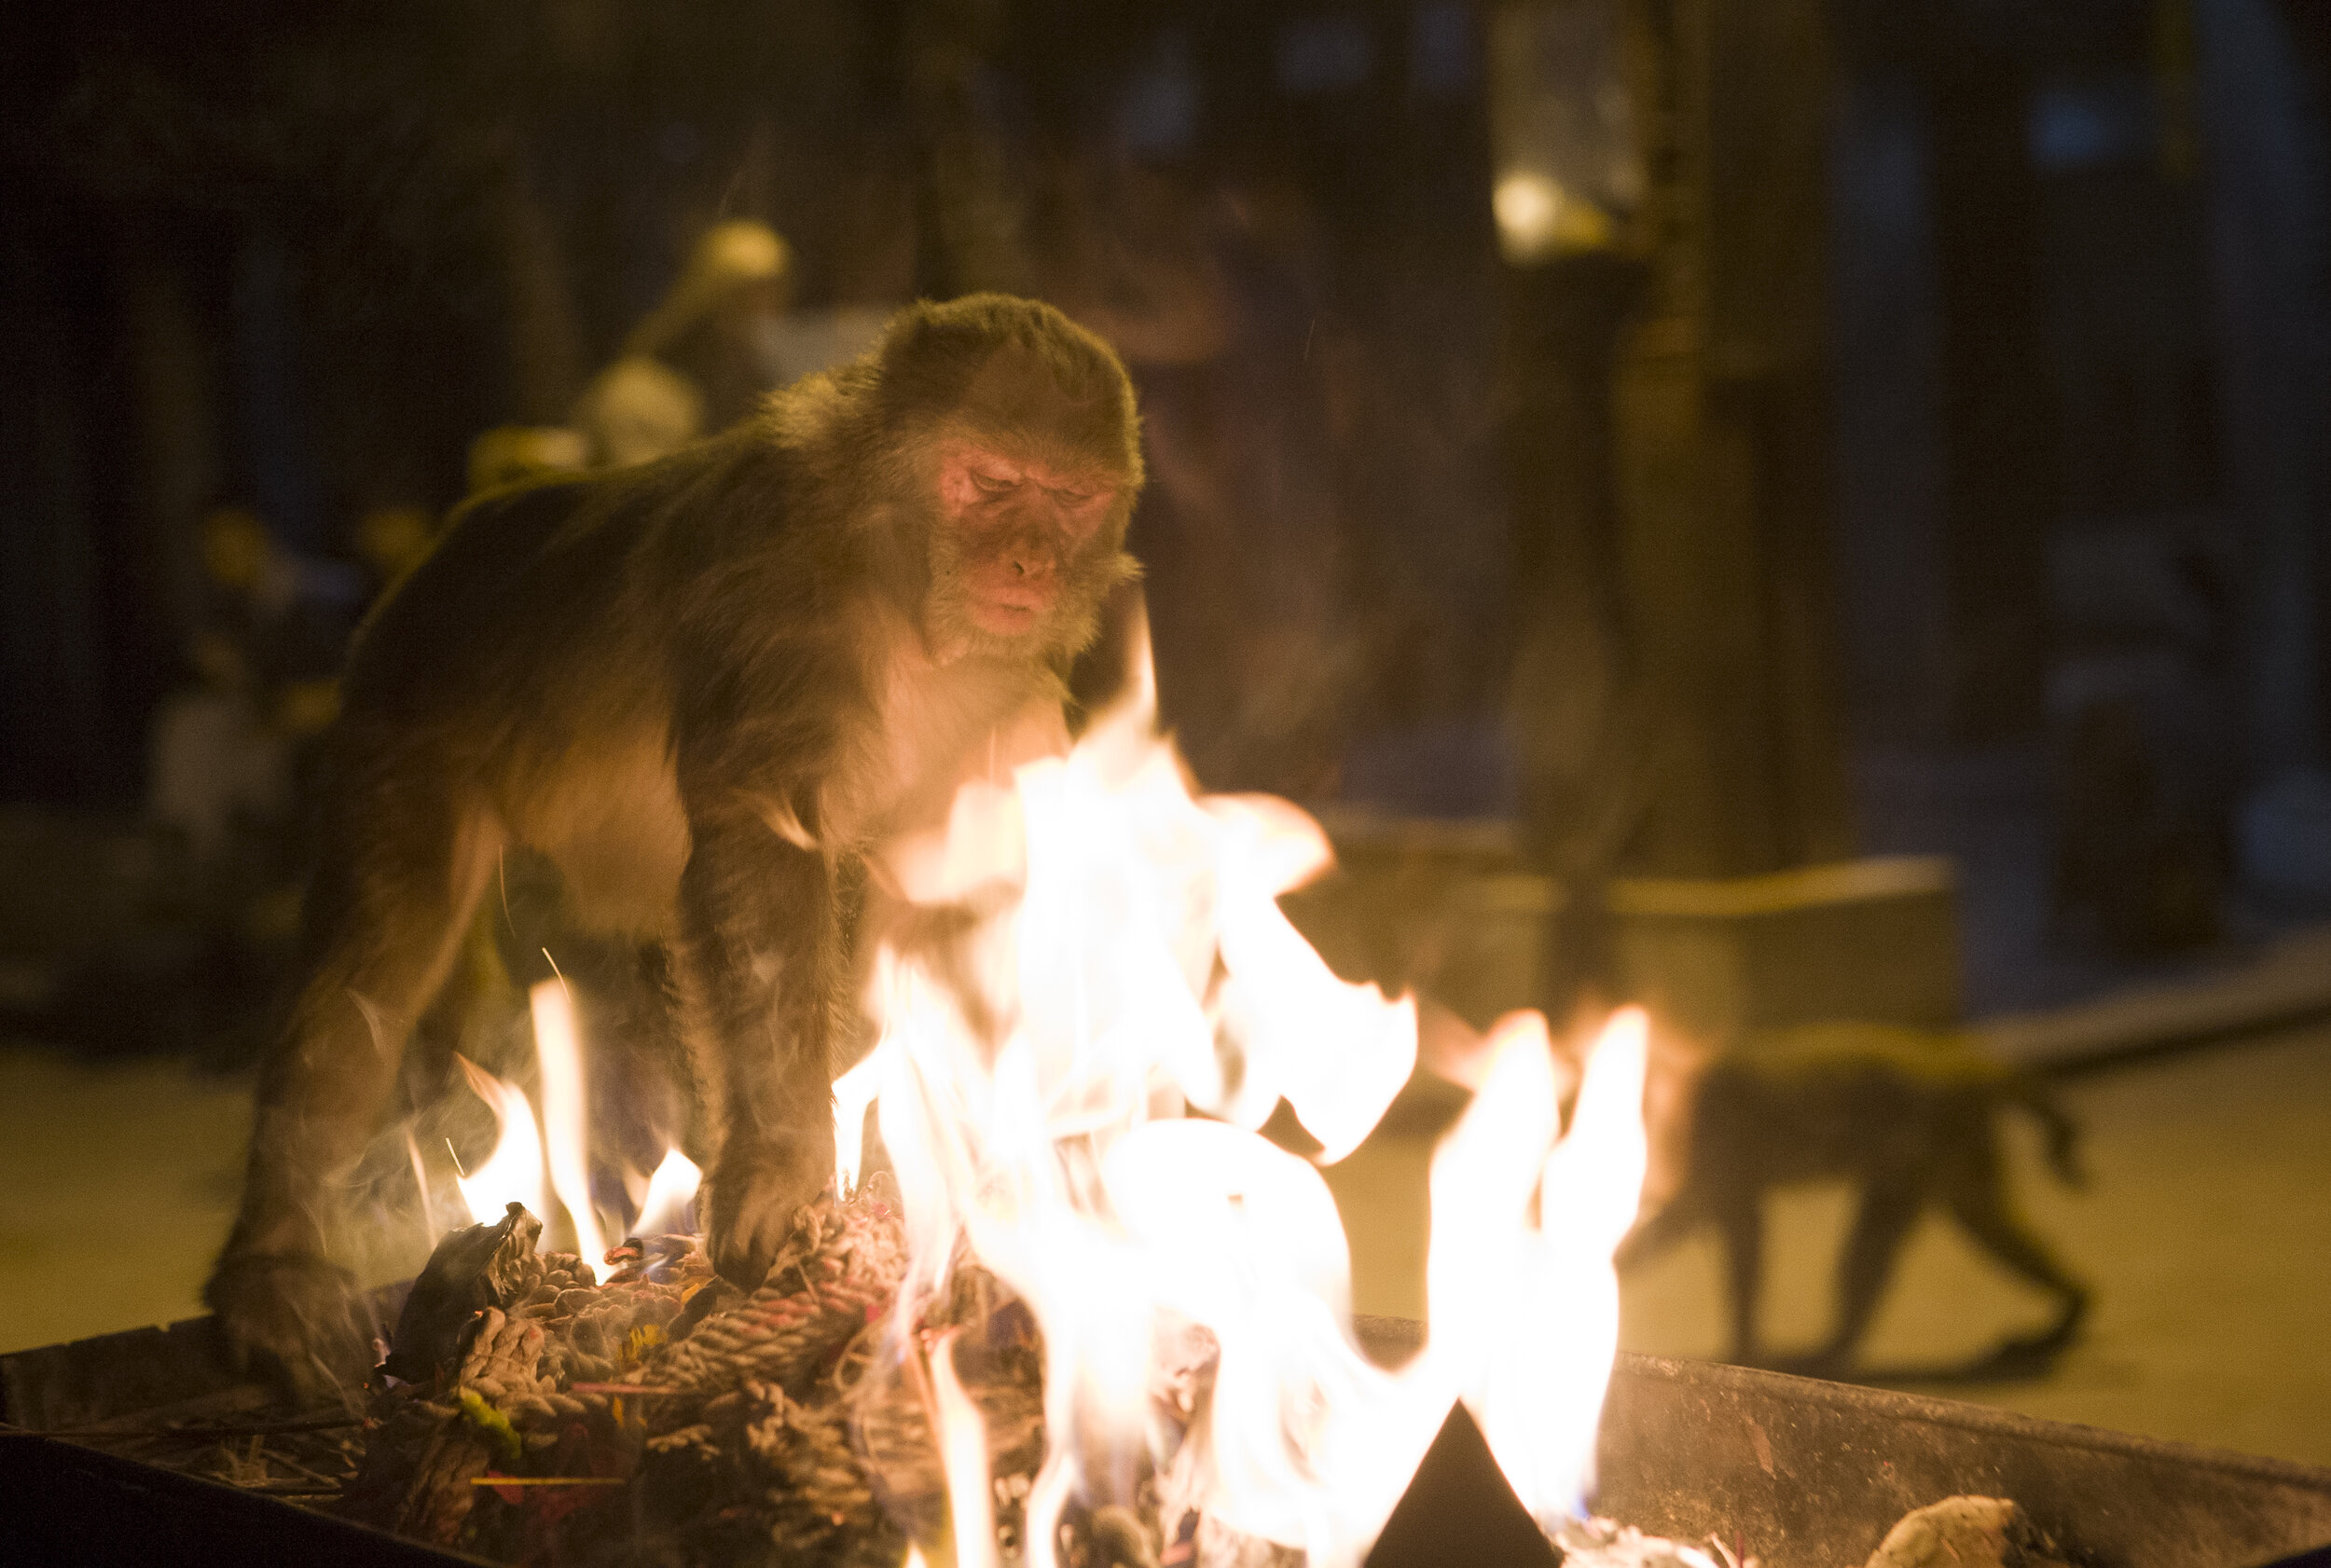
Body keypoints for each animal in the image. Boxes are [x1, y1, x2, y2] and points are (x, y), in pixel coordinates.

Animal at [214, 290, 1142, 1379]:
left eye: (1069, 499)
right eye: (991, 483)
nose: (1031, 559)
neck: (903, 593)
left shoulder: (1006, 692)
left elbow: (957, 909)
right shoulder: (779, 595)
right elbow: (757, 844)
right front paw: (781, 1159)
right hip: (405, 715)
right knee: (377, 959)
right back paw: (272, 1257)